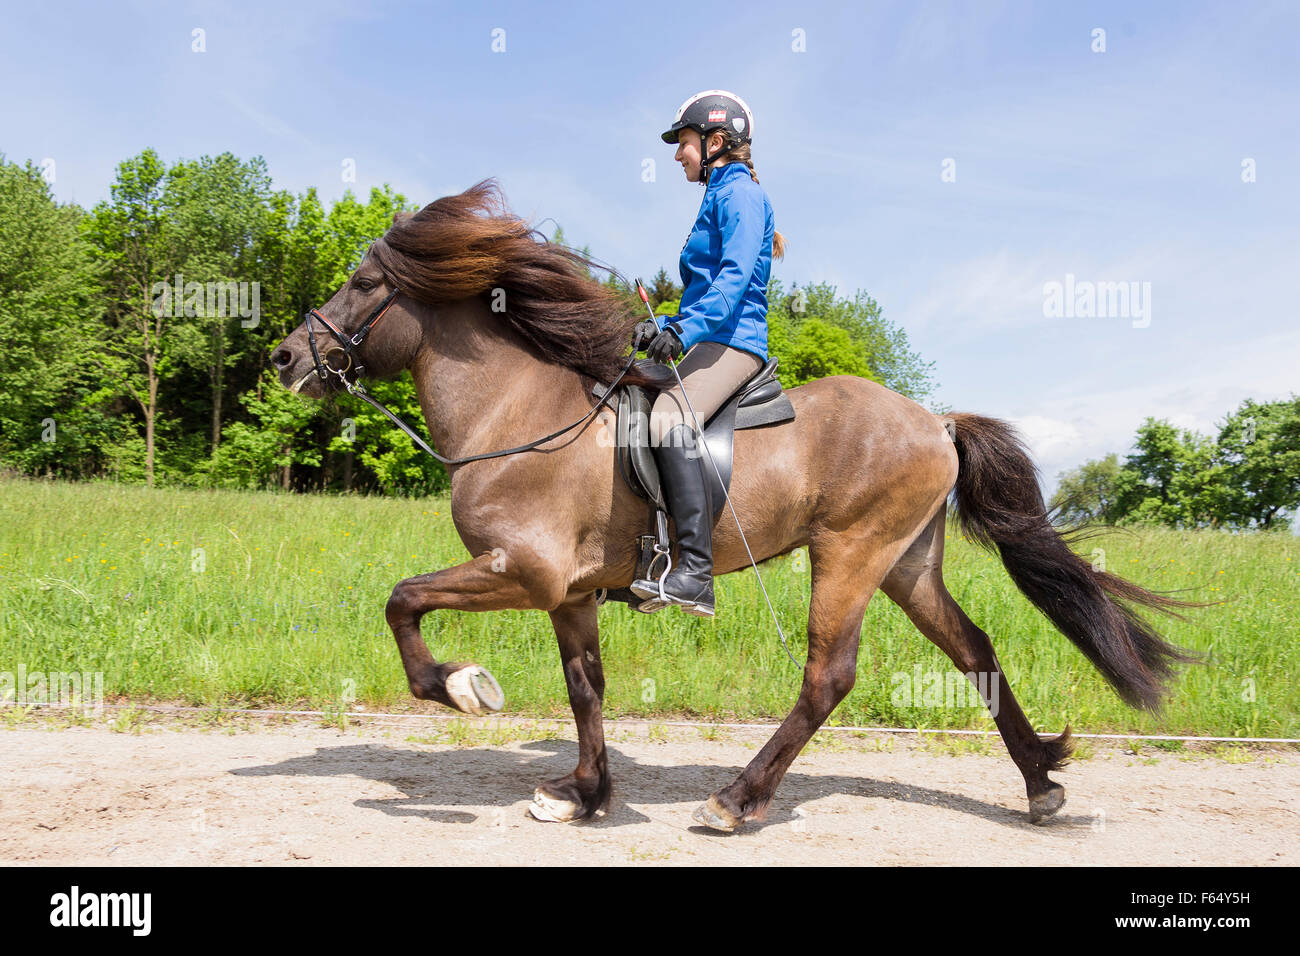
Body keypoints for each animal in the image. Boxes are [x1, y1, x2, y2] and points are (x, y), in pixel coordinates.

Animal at [269, 179, 1201, 832]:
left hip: (850, 554)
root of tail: (933, 419)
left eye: (362, 282)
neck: (518, 413)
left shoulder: (523, 571)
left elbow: (402, 600)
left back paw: (736, 799)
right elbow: (585, 688)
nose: (283, 358)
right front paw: (582, 794)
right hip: (906, 563)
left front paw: (462, 686)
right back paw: (1041, 784)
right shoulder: (569, 593)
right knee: (974, 648)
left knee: (829, 677)